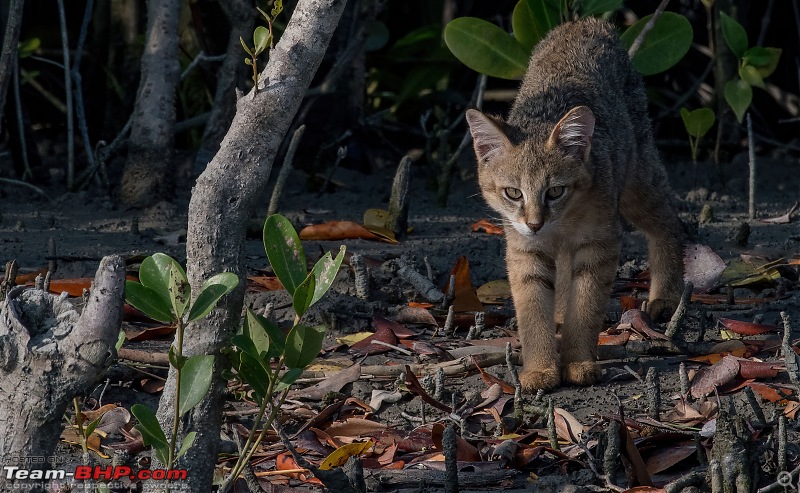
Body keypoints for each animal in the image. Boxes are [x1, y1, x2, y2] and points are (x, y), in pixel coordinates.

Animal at [466, 17, 684, 390]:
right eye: (513, 193)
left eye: (555, 191)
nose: (535, 223)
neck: (560, 224)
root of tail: (586, 21)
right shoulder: (525, 251)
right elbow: (532, 310)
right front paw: (540, 368)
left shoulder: (599, 244)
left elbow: (586, 306)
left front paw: (579, 361)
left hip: (636, 184)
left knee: (670, 219)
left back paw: (666, 297)